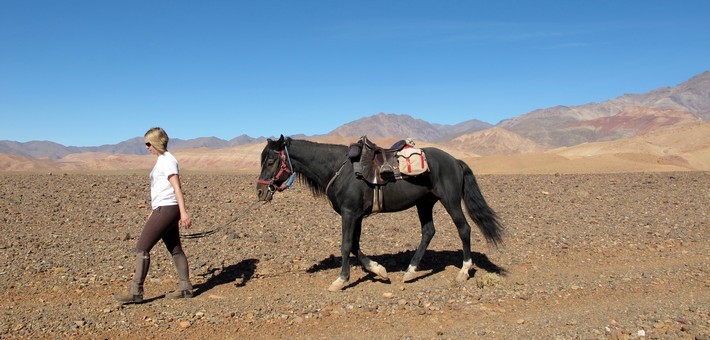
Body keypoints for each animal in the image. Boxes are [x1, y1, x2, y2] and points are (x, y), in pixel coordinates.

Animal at [258, 134, 506, 290]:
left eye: (270, 161)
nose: (260, 191)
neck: (339, 169)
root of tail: (454, 161)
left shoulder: (350, 213)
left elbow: (346, 245)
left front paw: (341, 280)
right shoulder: (356, 215)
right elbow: (355, 245)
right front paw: (379, 270)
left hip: (450, 201)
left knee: (464, 229)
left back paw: (463, 271)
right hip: (424, 203)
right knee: (428, 231)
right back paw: (410, 271)